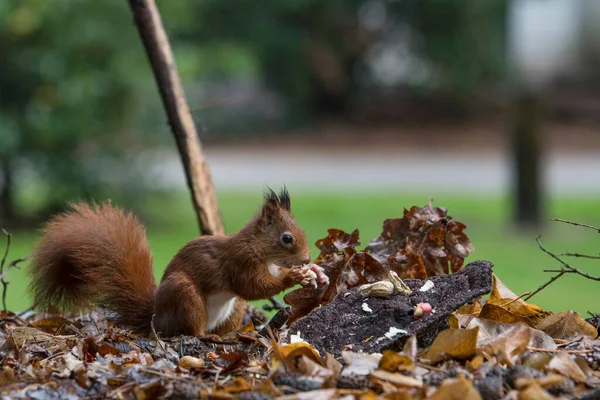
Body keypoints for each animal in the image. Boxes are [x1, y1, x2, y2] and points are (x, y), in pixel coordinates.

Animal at [28, 189, 318, 336]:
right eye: (287, 238)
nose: (306, 258)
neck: (259, 249)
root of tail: (156, 318)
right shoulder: (239, 262)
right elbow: (254, 287)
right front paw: (294, 277)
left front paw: (312, 271)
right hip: (184, 295)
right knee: (192, 331)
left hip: (234, 308)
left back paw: (231, 335)